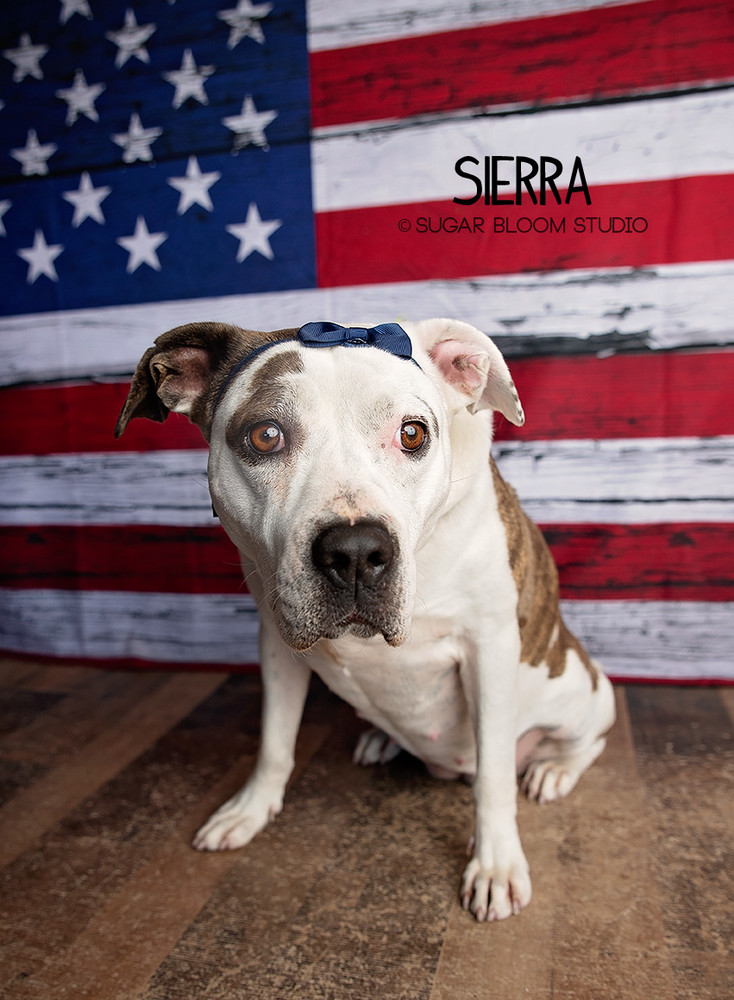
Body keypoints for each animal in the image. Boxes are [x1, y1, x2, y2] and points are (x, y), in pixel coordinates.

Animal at [118, 318, 620, 920]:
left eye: (413, 434)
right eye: (265, 436)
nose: (355, 551)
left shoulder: (490, 651)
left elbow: (495, 777)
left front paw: (496, 864)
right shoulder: (278, 644)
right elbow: (275, 741)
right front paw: (251, 808)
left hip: (583, 692)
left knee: (583, 741)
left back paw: (554, 769)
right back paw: (383, 740)